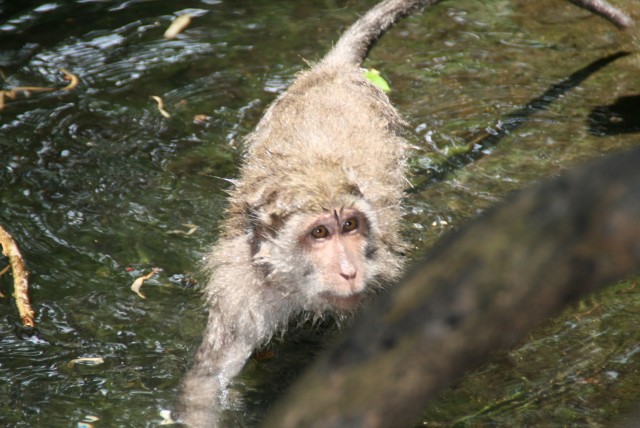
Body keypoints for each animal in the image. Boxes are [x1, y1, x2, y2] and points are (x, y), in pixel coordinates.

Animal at [177, 0, 631, 426]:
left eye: (349, 226)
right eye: (320, 233)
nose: (349, 271)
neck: (297, 285)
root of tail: (331, 72)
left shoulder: (378, 285)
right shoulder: (241, 287)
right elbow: (208, 378)